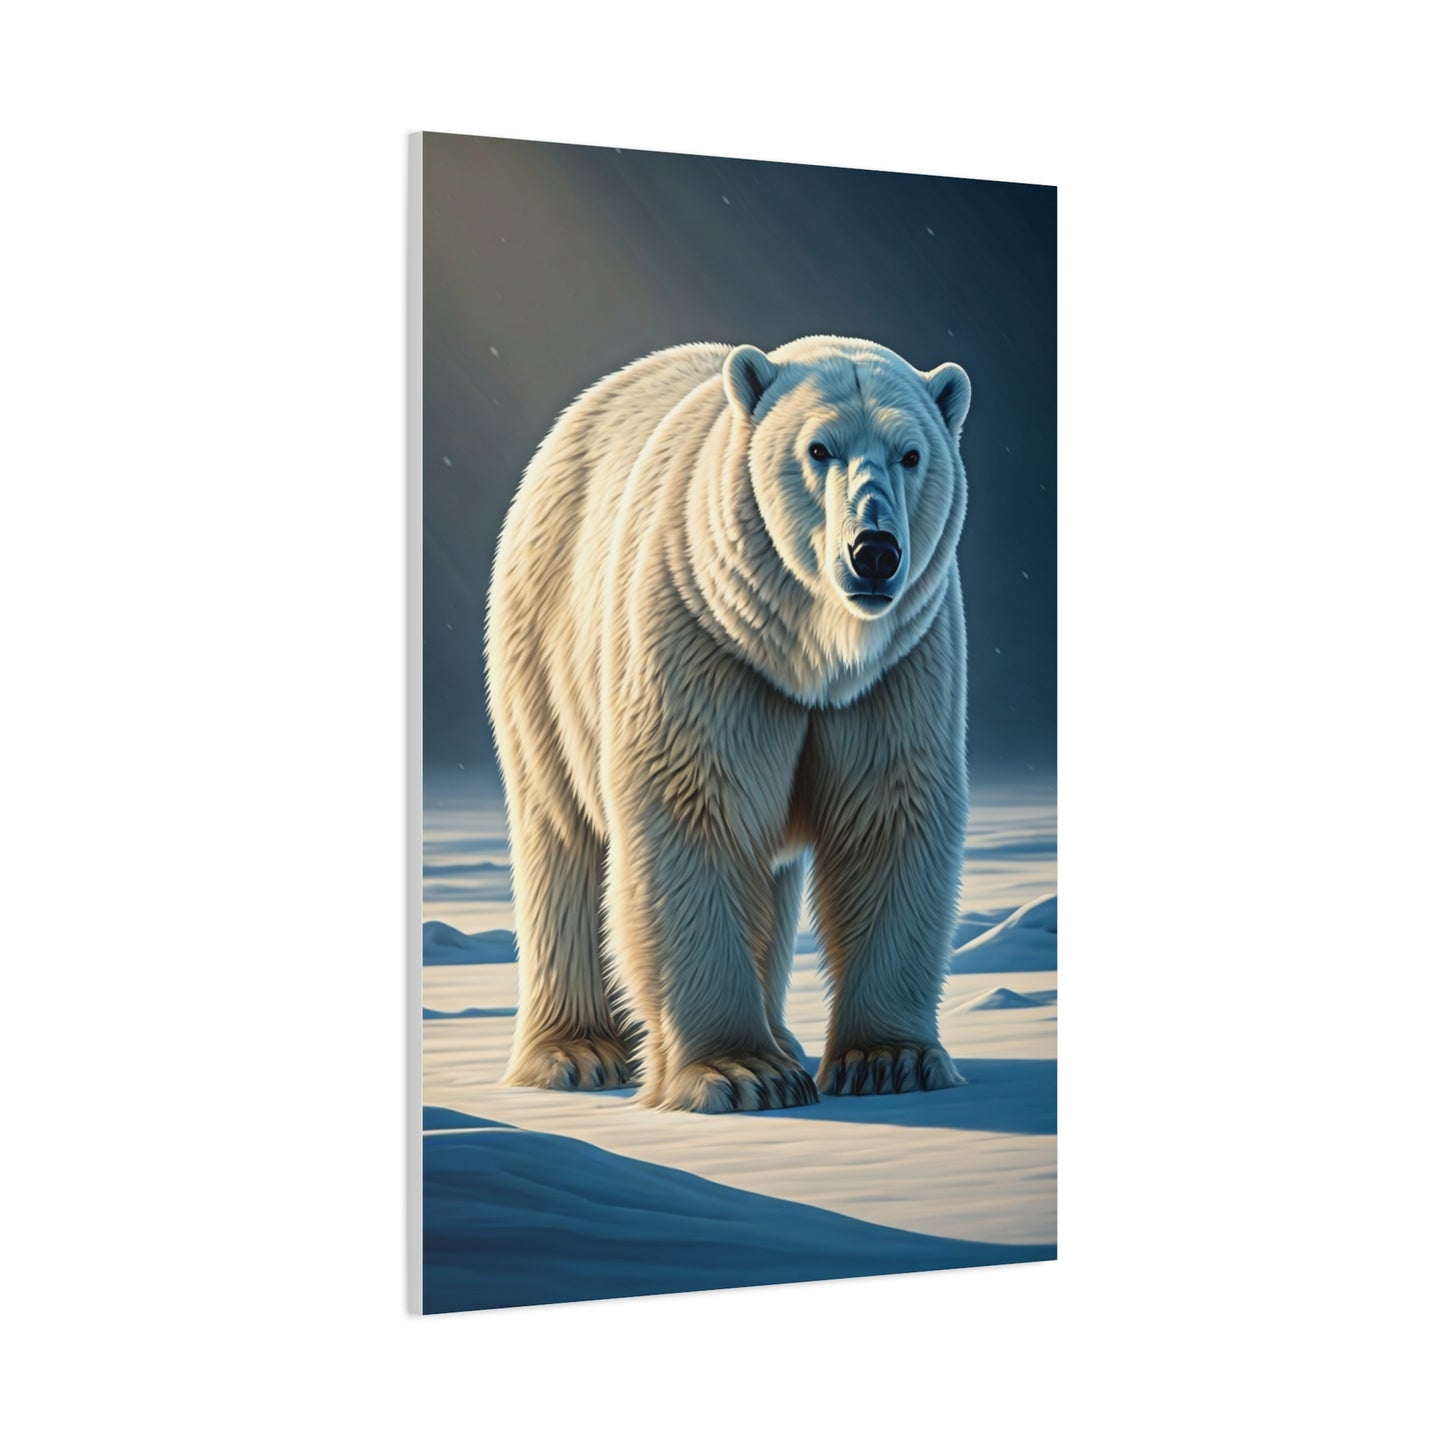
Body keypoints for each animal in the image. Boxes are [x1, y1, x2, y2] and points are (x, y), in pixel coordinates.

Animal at [485, 335, 972, 1113]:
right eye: (818, 448)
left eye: (910, 453)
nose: (874, 551)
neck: (806, 652)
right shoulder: (702, 634)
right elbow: (692, 812)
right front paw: (741, 1072)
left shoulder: (897, 669)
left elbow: (887, 815)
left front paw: (889, 1060)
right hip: (545, 639)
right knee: (562, 830)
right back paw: (574, 1052)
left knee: (770, 873)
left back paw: (786, 1037)